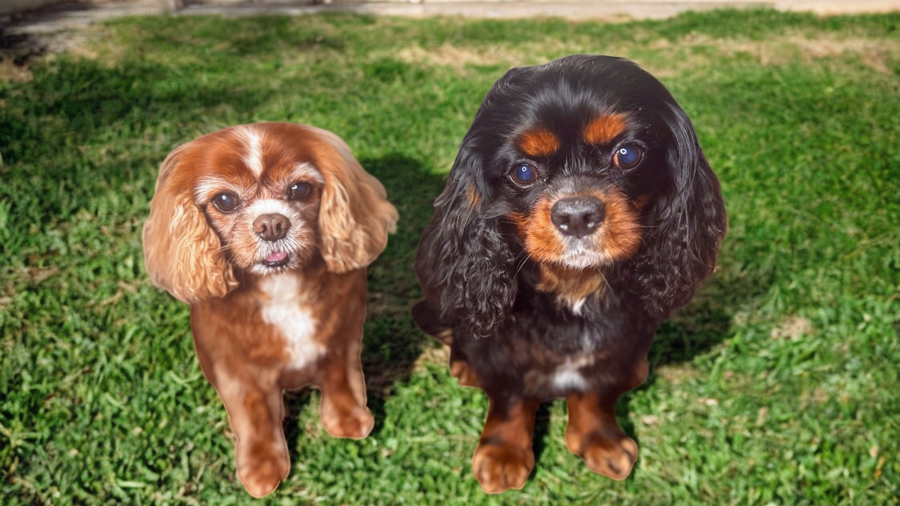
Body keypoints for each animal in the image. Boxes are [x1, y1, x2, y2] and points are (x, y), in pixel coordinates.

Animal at [143, 123, 398, 498]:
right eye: (224, 200)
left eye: (300, 188)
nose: (272, 224)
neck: (281, 285)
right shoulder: (238, 370)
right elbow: (255, 417)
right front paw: (262, 470)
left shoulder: (343, 335)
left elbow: (342, 377)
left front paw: (350, 420)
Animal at [412, 56, 728, 494]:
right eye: (523, 172)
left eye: (628, 154)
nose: (577, 214)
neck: (574, 284)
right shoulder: (504, 348)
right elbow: (509, 398)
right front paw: (502, 453)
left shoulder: (620, 338)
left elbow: (595, 391)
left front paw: (600, 440)